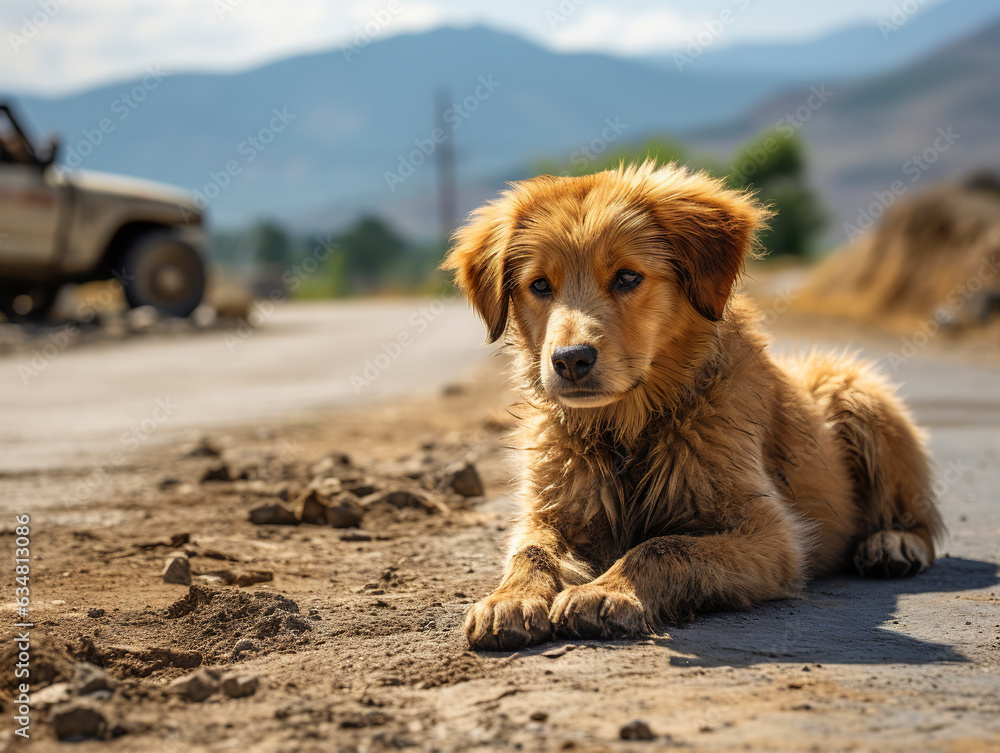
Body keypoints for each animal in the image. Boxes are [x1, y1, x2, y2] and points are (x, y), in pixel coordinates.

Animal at [440, 162, 944, 648]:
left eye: (627, 277)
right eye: (540, 285)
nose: (570, 360)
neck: (628, 428)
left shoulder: (772, 536)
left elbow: (662, 546)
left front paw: (606, 591)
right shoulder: (552, 512)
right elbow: (531, 551)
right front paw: (510, 599)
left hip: (855, 391)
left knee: (919, 518)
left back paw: (894, 543)